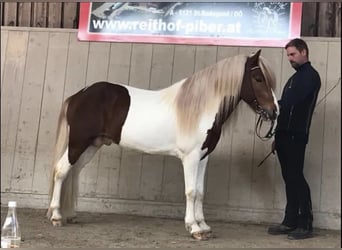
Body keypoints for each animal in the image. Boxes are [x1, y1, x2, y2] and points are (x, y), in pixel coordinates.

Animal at [46, 49, 280, 240]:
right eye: (258, 78)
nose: (274, 111)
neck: (200, 108)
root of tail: (79, 95)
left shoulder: (203, 157)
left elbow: (200, 192)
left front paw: (204, 226)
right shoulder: (191, 157)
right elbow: (191, 191)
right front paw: (194, 228)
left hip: (92, 145)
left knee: (73, 172)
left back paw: (70, 215)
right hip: (78, 143)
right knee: (61, 171)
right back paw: (56, 216)